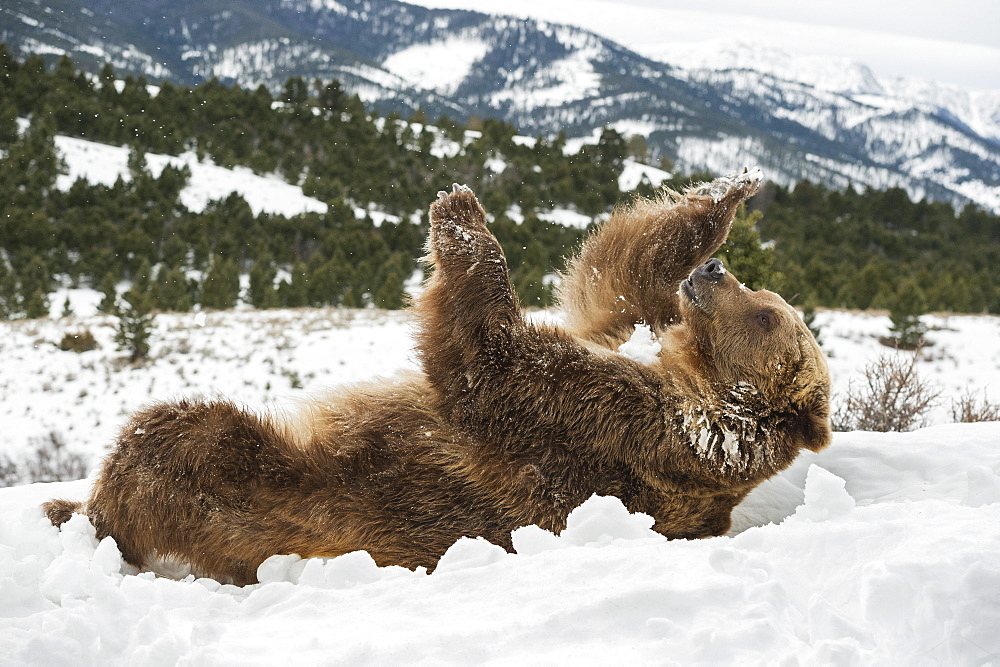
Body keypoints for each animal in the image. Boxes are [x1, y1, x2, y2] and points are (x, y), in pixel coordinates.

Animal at [43, 170, 832, 588]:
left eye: (769, 316)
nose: (715, 273)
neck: (687, 380)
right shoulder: (622, 344)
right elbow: (612, 281)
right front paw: (724, 196)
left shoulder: (613, 430)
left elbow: (491, 363)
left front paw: (461, 214)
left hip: (279, 494)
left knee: (180, 439)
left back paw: (90, 508)